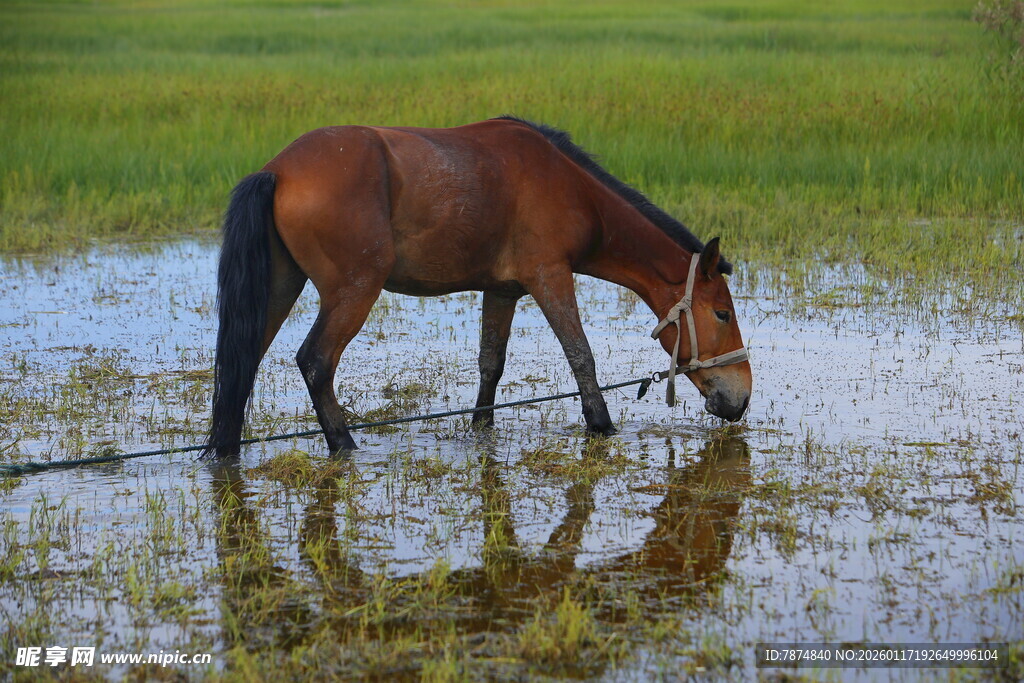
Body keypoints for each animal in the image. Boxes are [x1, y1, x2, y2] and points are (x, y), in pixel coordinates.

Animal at [202, 116, 752, 458]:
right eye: (722, 313)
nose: (740, 398)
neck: (571, 187)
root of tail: (277, 169)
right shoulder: (549, 276)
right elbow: (581, 355)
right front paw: (601, 426)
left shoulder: (503, 290)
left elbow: (492, 362)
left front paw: (481, 428)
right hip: (354, 291)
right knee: (316, 361)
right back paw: (345, 446)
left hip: (280, 287)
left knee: (242, 365)